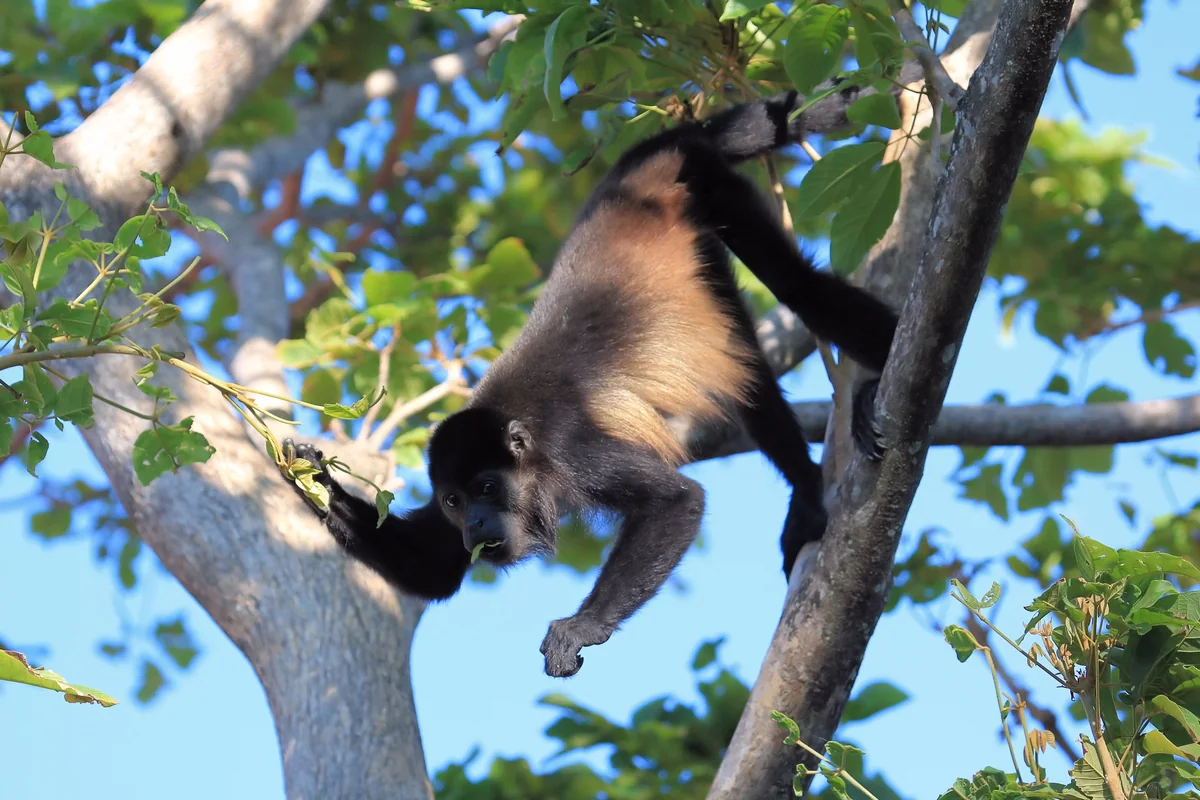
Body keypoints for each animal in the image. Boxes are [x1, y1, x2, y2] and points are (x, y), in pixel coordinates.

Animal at [283, 89, 898, 678]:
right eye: (455, 500)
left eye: (487, 488)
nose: (474, 523)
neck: (524, 446)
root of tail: (641, 160)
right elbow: (437, 569)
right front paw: (311, 476)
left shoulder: (574, 451)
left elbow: (678, 501)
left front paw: (583, 626)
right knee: (747, 374)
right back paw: (806, 491)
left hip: (705, 181)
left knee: (799, 287)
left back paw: (879, 383)